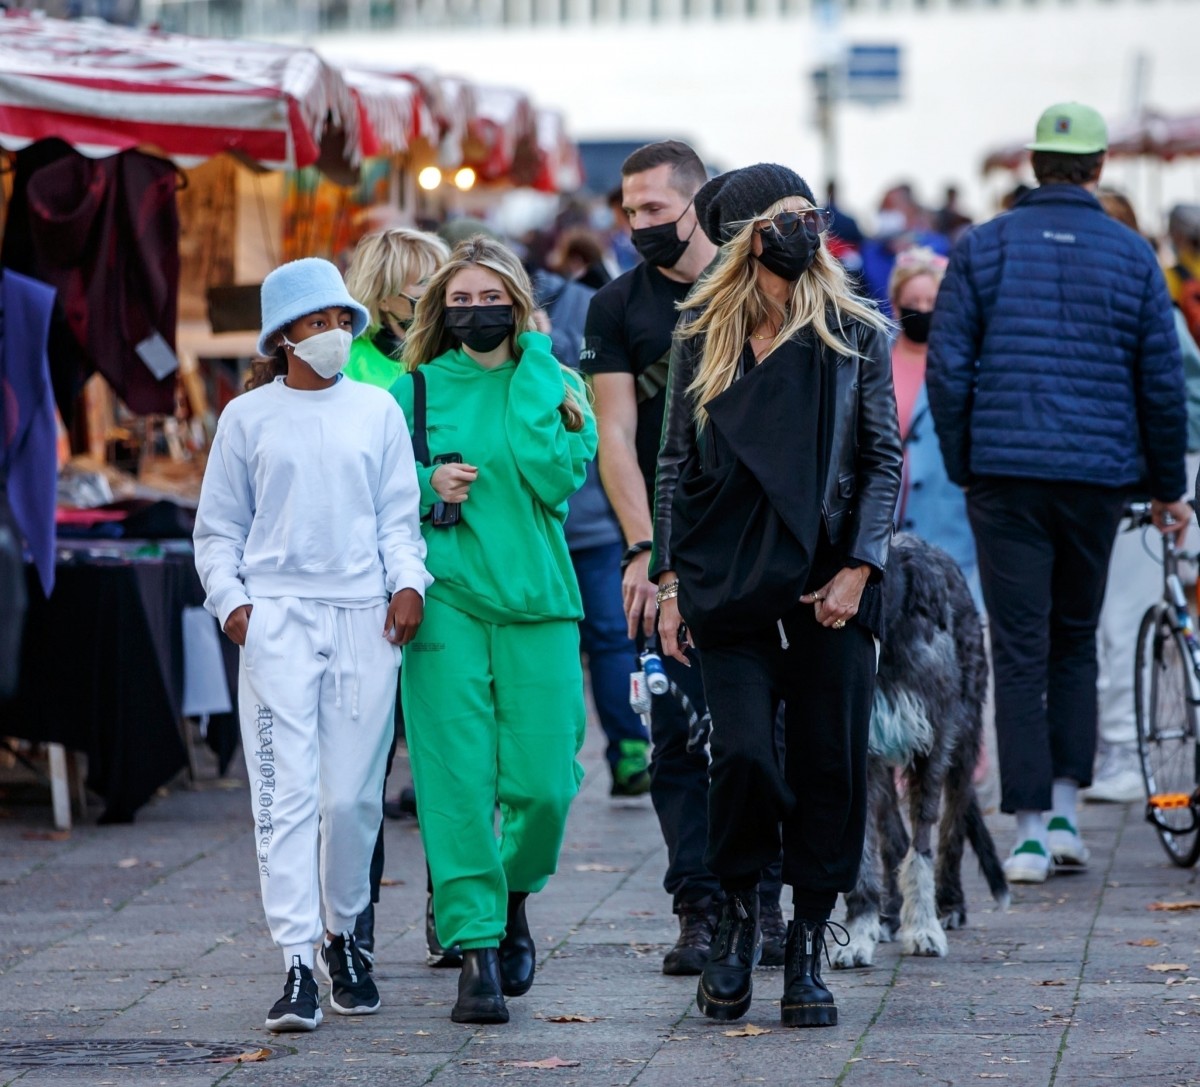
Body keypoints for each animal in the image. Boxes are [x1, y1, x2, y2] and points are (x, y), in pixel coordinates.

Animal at [835, 532, 1012, 964]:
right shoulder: (861, 749)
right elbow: (866, 850)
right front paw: (860, 931)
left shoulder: (932, 744)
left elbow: (923, 847)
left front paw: (924, 928)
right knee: (891, 834)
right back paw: (888, 915)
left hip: (964, 734)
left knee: (951, 823)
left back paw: (949, 905)